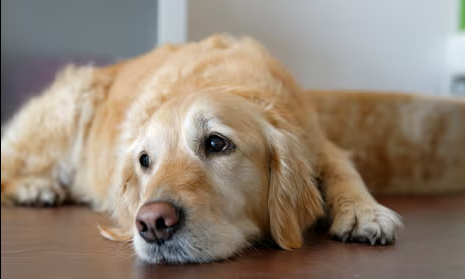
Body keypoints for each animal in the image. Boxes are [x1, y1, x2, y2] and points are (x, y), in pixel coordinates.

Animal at [1, 35, 400, 264]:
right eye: (145, 160)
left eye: (216, 143)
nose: (152, 224)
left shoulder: (316, 141)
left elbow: (343, 169)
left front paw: (365, 212)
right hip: (67, 111)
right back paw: (36, 188)